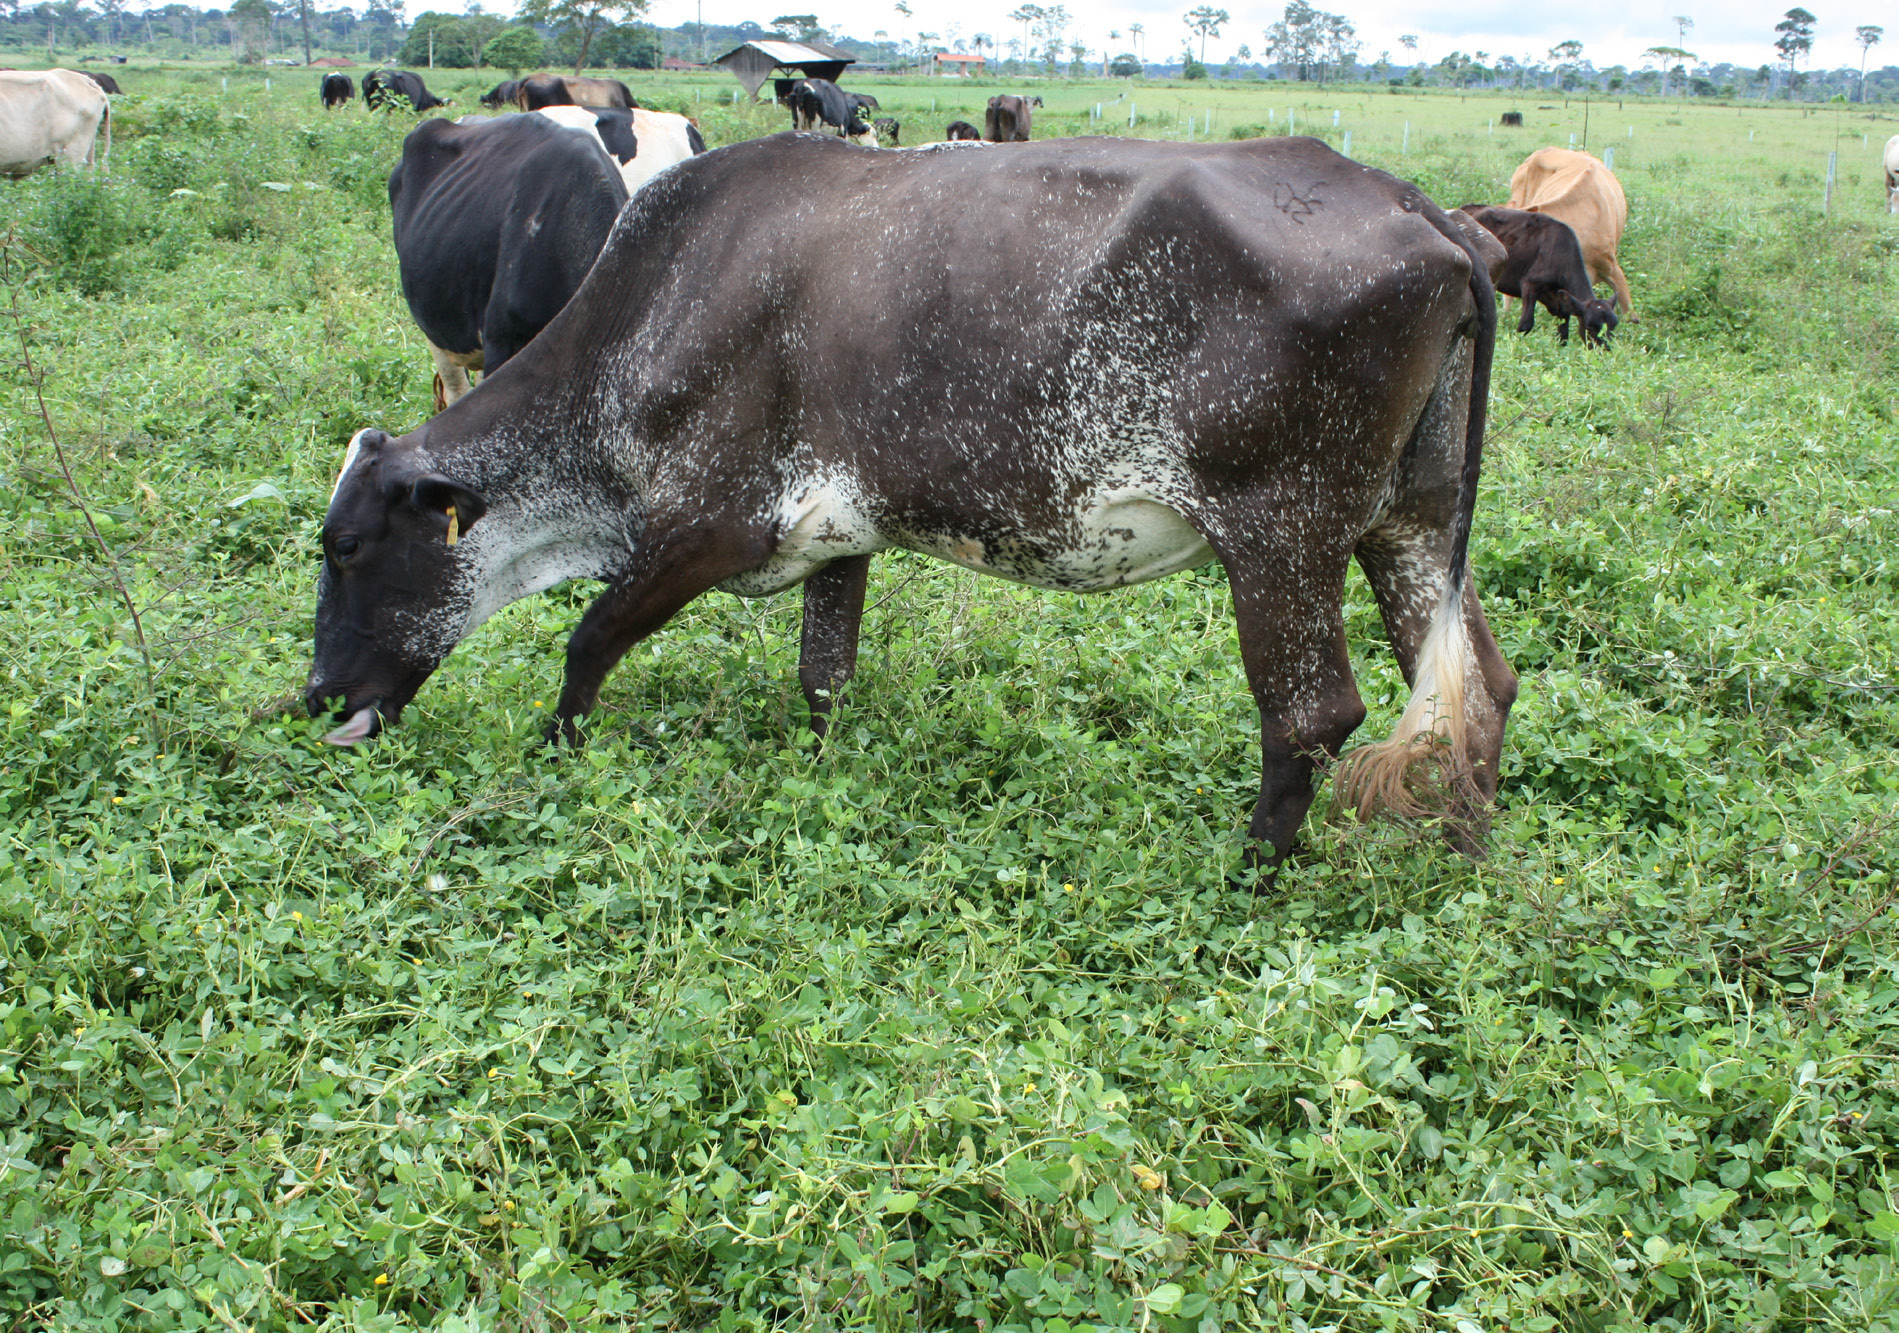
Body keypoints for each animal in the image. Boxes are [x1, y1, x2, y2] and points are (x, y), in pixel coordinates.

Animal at [1459, 205, 1616, 346]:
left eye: (1614, 325)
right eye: (1590, 325)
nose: (1605, 349)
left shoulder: (1561, 304)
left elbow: (1563, 334)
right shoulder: (1530, 284)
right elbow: (1526, 324)